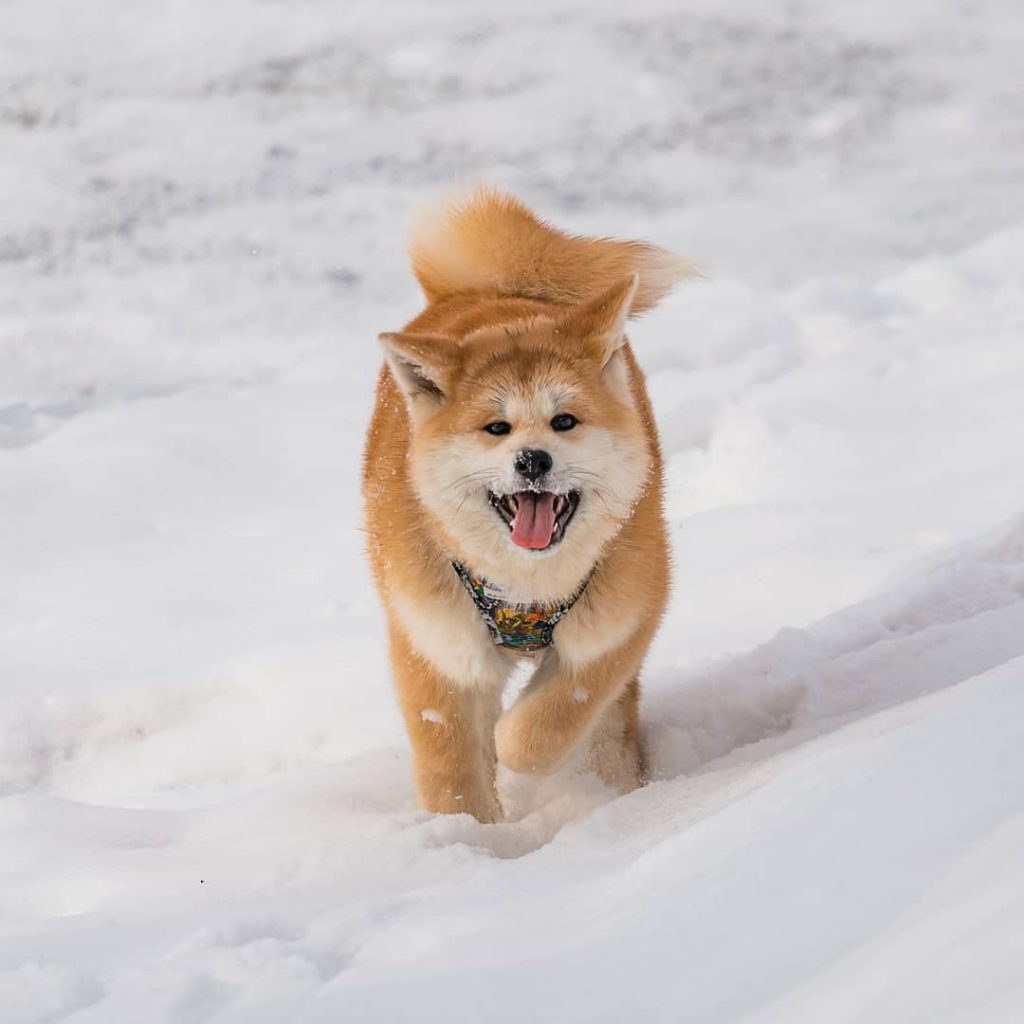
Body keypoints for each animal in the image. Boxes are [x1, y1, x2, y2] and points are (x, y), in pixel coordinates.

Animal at [360, 188, 688, 819]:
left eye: (564, 421)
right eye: (496, 427)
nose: (533, 460)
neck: (525, 590)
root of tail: (493, 291)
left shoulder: (619, 621)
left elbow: (548, 723)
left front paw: (516, 751)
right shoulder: (437, 650)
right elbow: (452, 773)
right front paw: (469, 835)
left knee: (608, 729)